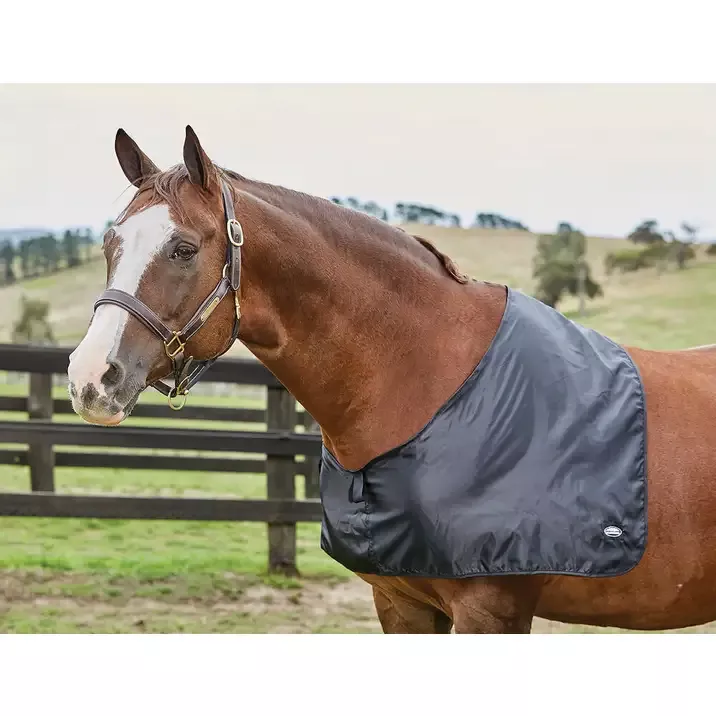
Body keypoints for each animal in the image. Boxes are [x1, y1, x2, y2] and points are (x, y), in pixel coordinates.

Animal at [67, 126, 716, 634]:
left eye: (182, 249)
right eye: (109, 242)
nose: (90, 378)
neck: (432, 381)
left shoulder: (492, 610)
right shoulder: (400, 602)